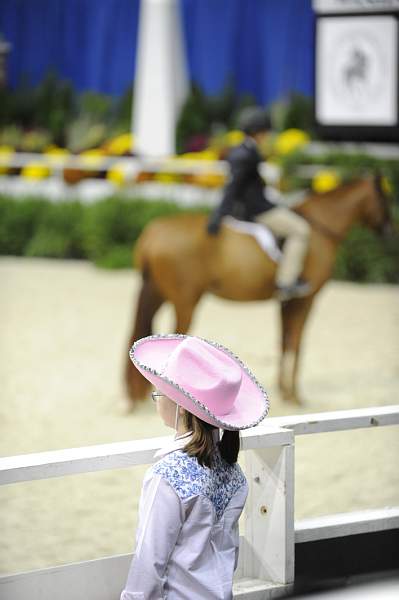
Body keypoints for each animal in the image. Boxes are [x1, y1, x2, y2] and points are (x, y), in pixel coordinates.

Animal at [126, 176, 392, 406]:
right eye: (384, 199)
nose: (388, 232)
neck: (319, 228)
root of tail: (155, 231)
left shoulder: (286, 301)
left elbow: (284, 342)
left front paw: (284, 391)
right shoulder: (305, 300)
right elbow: (296, 343)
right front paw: (294, 396)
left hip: (158, 294)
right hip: (185, 301)